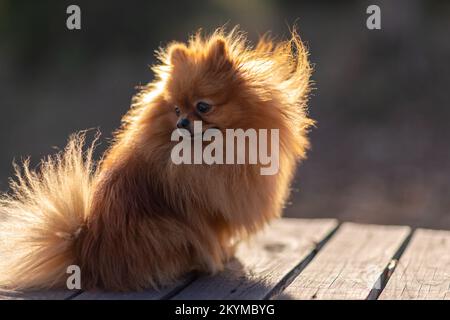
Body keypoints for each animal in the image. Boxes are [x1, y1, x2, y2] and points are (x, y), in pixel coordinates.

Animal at [0, 27, 312, 292]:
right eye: (176, 110)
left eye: (202, 106)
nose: (182, 122)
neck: (216, 148)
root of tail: (87, 252)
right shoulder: (205, 206)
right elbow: (214, 235)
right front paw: (223, 255)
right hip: (164, 230)